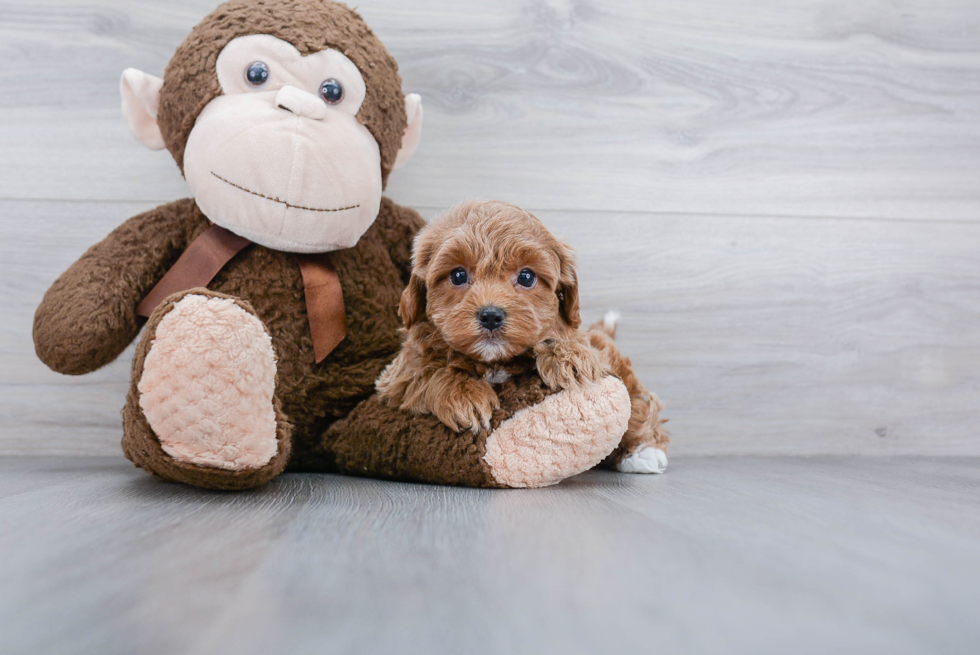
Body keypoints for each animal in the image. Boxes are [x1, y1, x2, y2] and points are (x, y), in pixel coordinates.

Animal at [378, 200, 668, 472]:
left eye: (526, 277)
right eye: (458, 275)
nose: (491, 315)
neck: (495, 361)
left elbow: (569, 339)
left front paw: (568, 357)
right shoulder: (395, 377)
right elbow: (426, 371)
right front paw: (464, 394)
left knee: (639, 402)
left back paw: (643, 452)